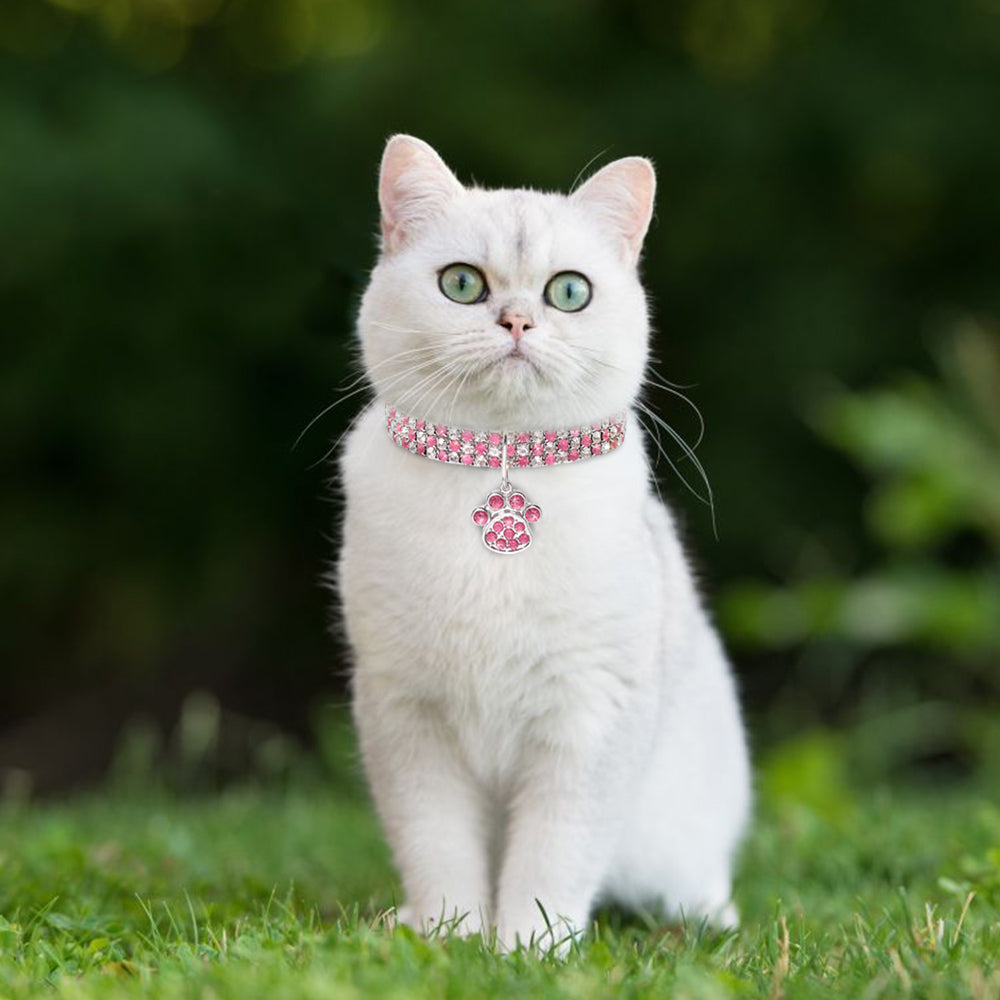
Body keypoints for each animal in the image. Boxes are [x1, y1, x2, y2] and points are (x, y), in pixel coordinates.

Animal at [336, 135, 752, 952]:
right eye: (462, 284)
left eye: (567, 293)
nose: (518, 323)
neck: (497, 466)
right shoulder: (405, 711)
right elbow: (436, 847)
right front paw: (449, 936)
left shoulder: (590, 712)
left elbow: (555, 852)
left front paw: (529, 949)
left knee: (699, 888)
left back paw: (703, 920)